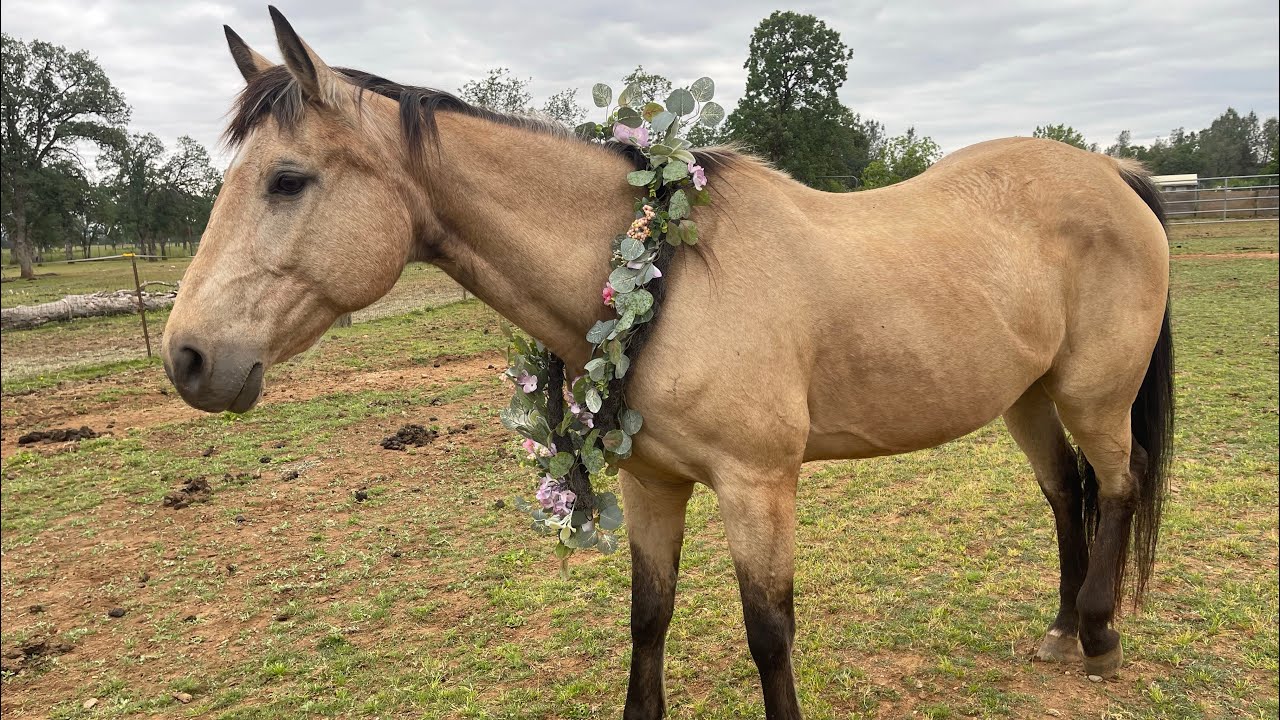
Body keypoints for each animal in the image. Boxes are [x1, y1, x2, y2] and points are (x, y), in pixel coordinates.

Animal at [162, 9, 1174, 719]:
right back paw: (1060, 631)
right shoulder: (651, 484)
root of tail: (1113, 177)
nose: (187, 356)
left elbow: (770, 634)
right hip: (1029, 397)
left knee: (1119, 482)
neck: (669, 271)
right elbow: (649, 618)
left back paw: (1098, 635)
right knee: (1067, 493)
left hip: (1094, 394)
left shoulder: (758, 487)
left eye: (288, 179)